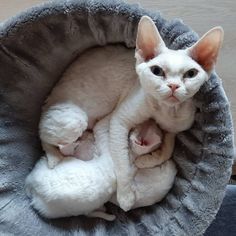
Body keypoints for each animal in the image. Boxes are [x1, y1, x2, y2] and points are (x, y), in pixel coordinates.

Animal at [26, 116, 177, 221]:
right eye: (150, 123)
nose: (153, 118)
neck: (132, 155)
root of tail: (33, 187)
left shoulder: (103, 135)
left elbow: (103, 123)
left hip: (47, 165)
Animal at [39, 15, 224, 211]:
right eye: (157, 71)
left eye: (191, 73)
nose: (174, 86)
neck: (166, 110)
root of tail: (47, 102)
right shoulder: (117, 121)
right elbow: (122, 162)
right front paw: (126, 196)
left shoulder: (175, 129)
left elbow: (168, 149)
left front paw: (146, 160)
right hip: (75, 119)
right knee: (45, 139)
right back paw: (56, 157)